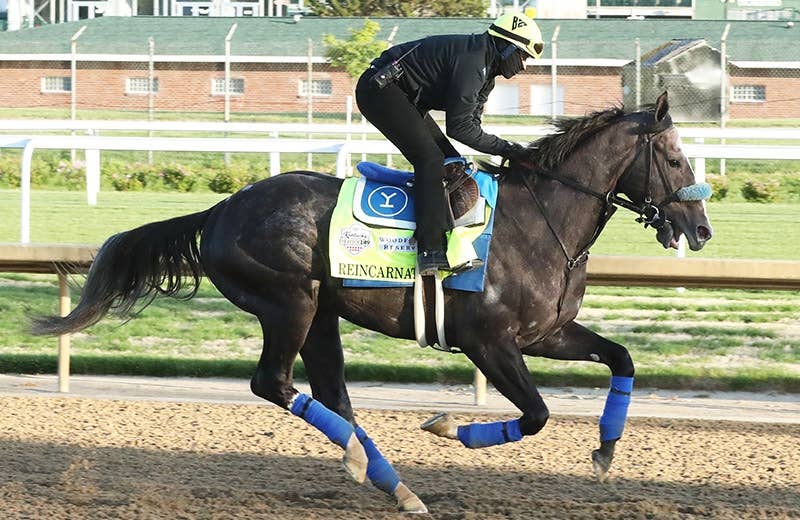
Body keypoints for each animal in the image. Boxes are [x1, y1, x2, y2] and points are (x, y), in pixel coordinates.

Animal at [33, 92, 712, 514]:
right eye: (675, 157)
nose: (701, 229)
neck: (541, 221)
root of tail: (220, 210)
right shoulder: (488, 342)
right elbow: (538, 414)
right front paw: (448, 426)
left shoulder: (546, 334)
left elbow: (622, 359)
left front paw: (605, 450)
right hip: (288, 303)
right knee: (274, 384)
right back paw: (370, 465)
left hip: (320, 314)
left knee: (333, 394)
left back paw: (389, 482)